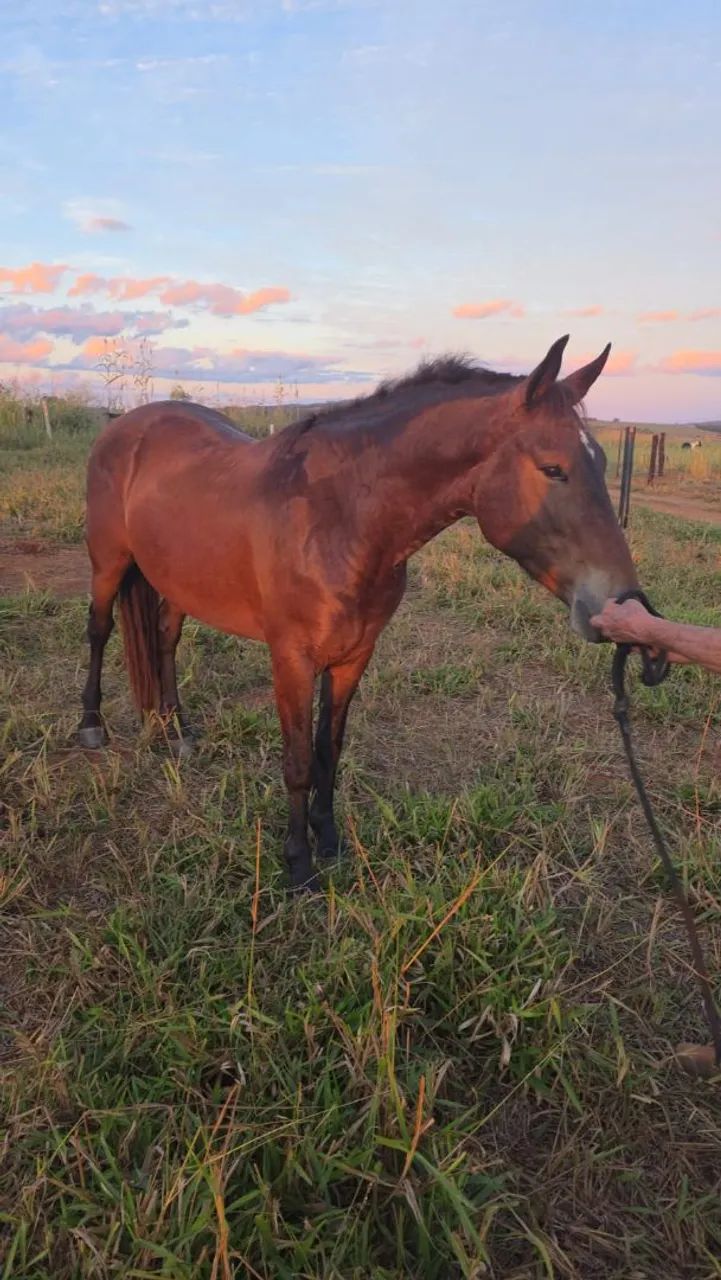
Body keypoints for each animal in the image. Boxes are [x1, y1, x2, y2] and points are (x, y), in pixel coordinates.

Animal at [79, 334, 639, 890]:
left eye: (602, 462)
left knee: (165, 639)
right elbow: (299, 761)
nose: (622, 602)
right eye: (553, 468)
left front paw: (328, 841)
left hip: (177, 580)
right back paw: (91, 725)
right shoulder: (292, 660)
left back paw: (177, 730)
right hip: (108, 565)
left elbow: (330, 750)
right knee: (100, 630)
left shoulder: (353, 656)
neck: (338, 517)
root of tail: (123, 425)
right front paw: (298, 865)